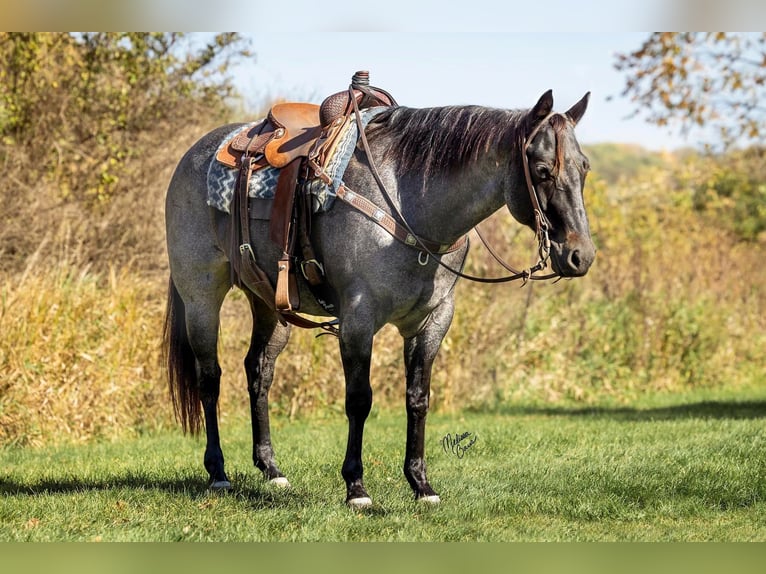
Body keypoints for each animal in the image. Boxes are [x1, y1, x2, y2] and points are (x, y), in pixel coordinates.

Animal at [162, 88, 596, 510]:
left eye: (584, 168)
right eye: (543, 170)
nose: (581, 256)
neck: (409, 205)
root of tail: (193, 154)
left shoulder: (434, 320)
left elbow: (418, 398)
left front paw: (421, 484)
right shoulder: (358, 318)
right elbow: (359, 400)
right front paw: (356, 487)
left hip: (270, 304)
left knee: (258, 372)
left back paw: (271, 468)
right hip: (201, 296)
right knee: (209, 378)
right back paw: (218, 472)